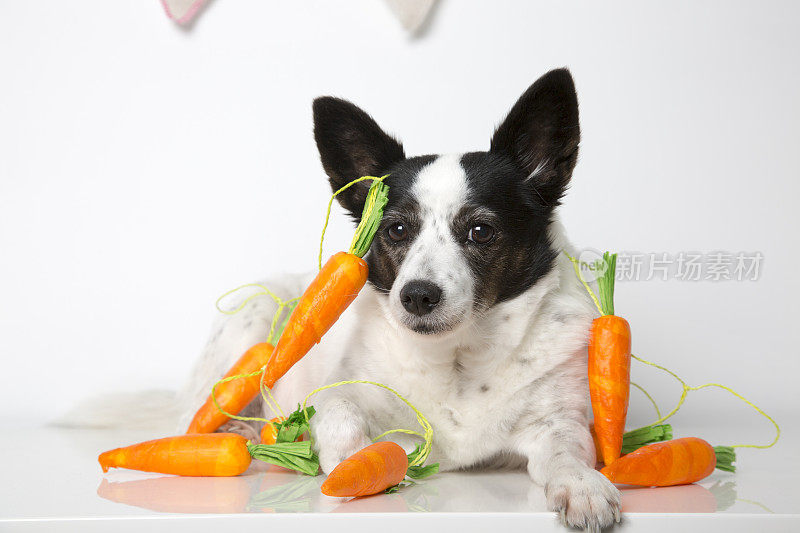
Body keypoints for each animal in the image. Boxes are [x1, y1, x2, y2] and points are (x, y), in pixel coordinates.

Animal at [178, 68, 620, 528]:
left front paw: (582, 486)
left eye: (481, 231)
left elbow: (568, 453)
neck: (458, 358)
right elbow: (340, 416)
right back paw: (235, 431)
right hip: (253, 321)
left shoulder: (559, 421)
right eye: (396, 230)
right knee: (198, 412)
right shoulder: (337, 394)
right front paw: (352, 458)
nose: (417, 296)